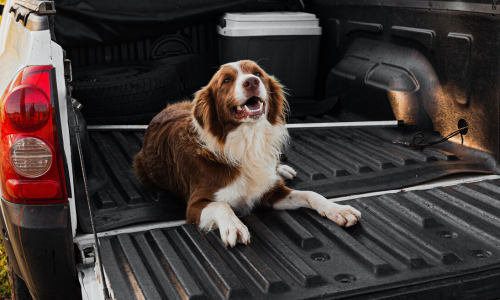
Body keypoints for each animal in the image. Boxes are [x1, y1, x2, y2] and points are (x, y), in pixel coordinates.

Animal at [134, 60, 360, 246]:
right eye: (226, 80)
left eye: (258, 73)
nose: (251, 82)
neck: (248, 141)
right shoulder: (195, 205)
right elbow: (222, 205)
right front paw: (234, 226)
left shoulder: (271, 193)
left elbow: (311, 194)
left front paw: (337, 209)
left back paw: (282, 169)